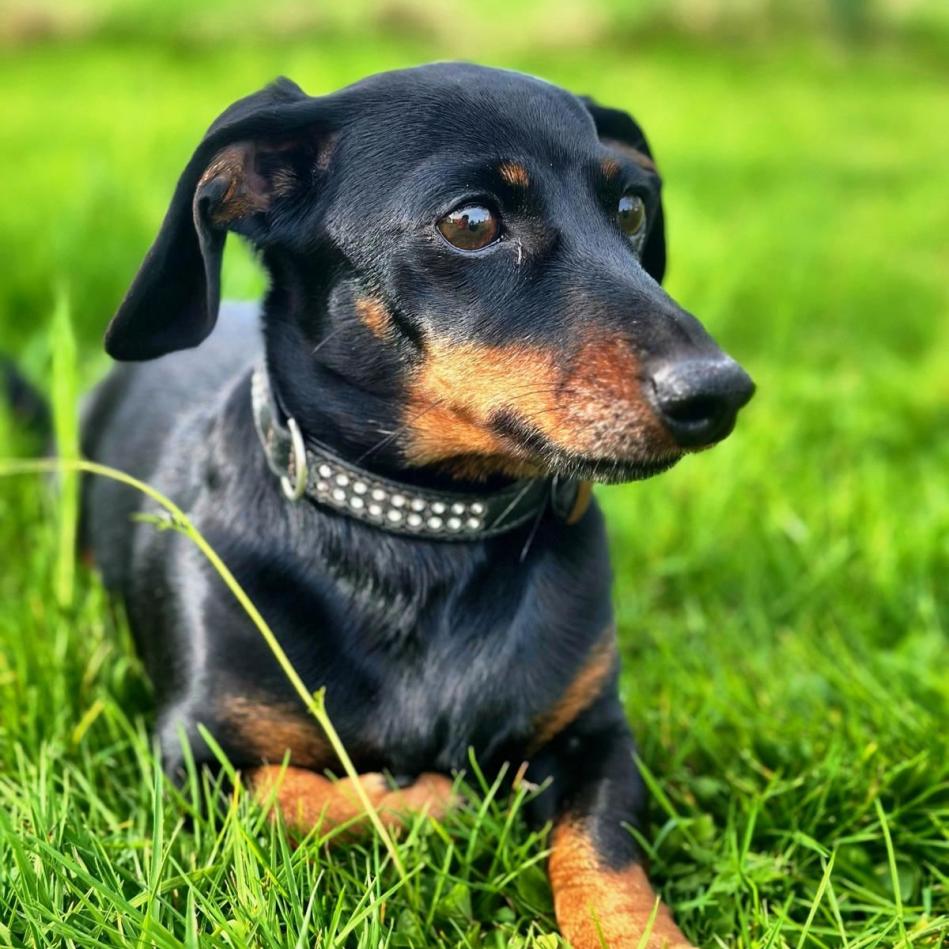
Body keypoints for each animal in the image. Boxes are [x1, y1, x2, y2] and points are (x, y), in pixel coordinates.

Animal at [80, 64, 754, 948]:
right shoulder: (191, 752)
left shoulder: (597, 733)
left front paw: (633, 929)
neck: (422, 531)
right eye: (471, 221)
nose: (719, 392)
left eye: (632, 207)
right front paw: (441, 795)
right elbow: (303, 795)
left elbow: (601, 850)